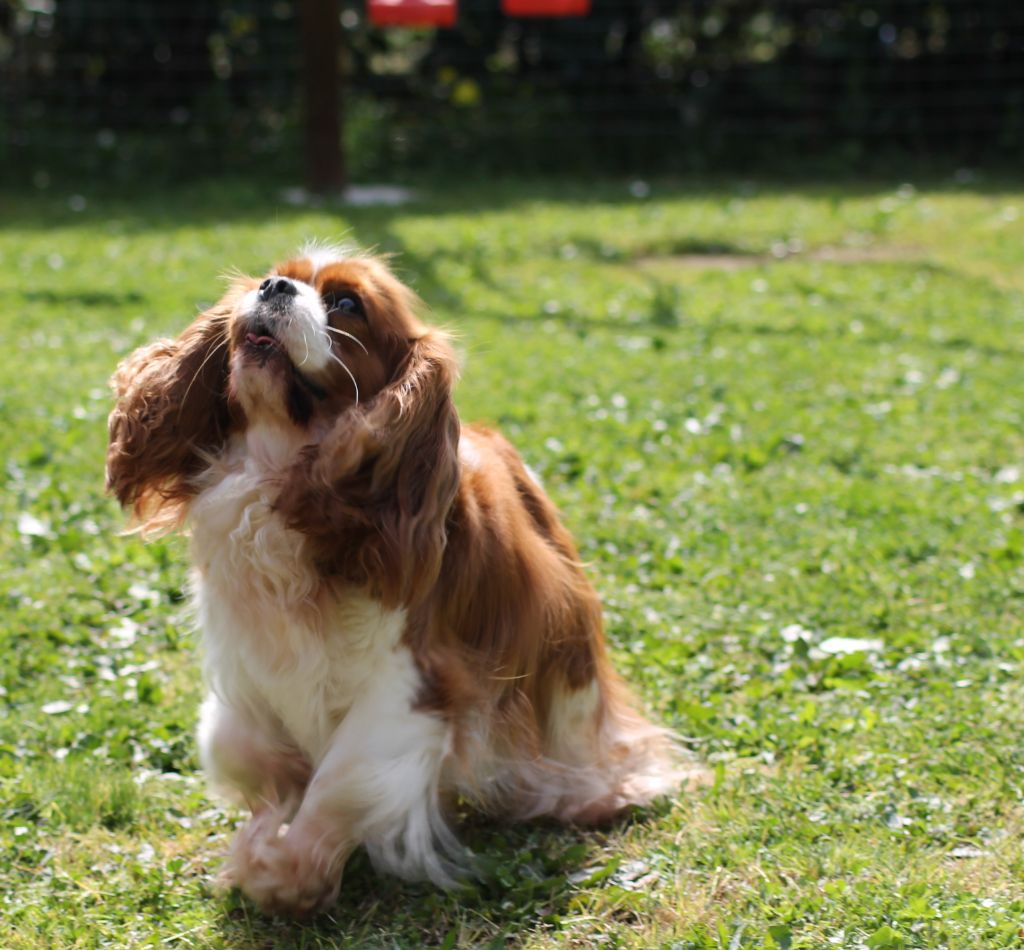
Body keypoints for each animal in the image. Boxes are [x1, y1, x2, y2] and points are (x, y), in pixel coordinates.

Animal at [105, 244, 688, 913]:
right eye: (274, 274)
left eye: (346, 304)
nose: (273, 287)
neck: (280, 471)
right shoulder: (254, 665)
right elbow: (241, 749)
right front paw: (265, 824)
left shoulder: (413, 682)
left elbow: (345, 775)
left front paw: (288, 869)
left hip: (563, 648)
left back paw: (591, 790)